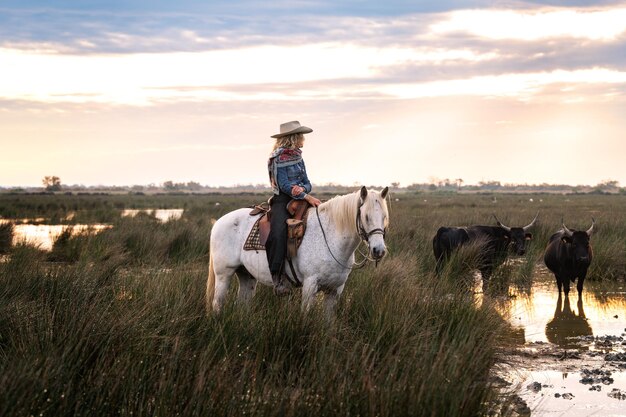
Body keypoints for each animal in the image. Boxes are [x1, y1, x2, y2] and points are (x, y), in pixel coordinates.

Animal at [207, 185, 388, 316]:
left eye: (384, 217)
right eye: (366, 217)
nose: (378, 250)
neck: (330, 237)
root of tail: (219, 222)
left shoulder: (335, 290)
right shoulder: (310, 285)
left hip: (247, 275)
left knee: (242, 305)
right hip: (224, 274)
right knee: (217, 303)